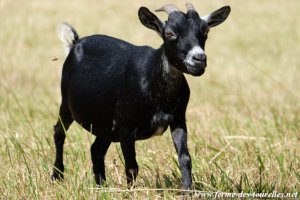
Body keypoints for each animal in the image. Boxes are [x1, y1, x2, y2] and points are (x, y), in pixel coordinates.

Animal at [52, 3, 230, 189]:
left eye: (205, 32)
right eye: (170, 33)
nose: (199, 59)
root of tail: (75, 42)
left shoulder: (178, 119)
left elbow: (185, 158)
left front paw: (188, 190)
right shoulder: (126, 127)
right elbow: (132, 167)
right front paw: (130, 192)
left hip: (106, 124)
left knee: (96, 150)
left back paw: (101, 186)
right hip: (67, 103)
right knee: (59, 132)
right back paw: (57, 176)